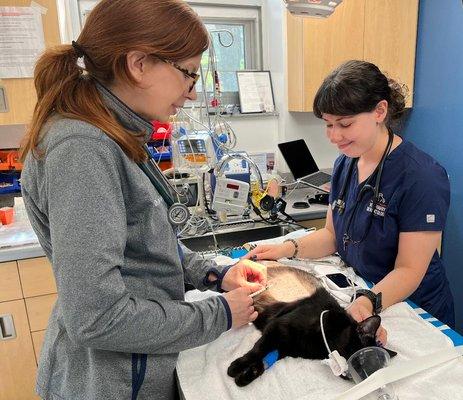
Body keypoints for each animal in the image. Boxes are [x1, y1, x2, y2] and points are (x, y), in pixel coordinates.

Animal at [227, 264, 396, 386]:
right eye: (361, 361)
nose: (364, 380)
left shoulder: (284, 347)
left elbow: (264, 360)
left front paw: (245, 377)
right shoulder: (278, 327)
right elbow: (258, 350)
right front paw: (235, 367)